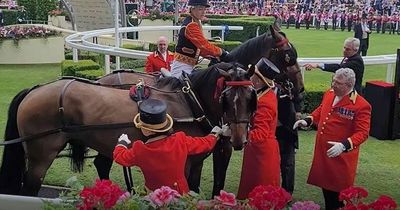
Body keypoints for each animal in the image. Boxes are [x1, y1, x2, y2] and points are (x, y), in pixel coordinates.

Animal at [0, 62, 256, 195]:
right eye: (226, 97)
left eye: (250, 97)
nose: (238, 139)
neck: (190, 103)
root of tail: (34, 89)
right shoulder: (181, 163)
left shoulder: (196, 162)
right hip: (40, 155)